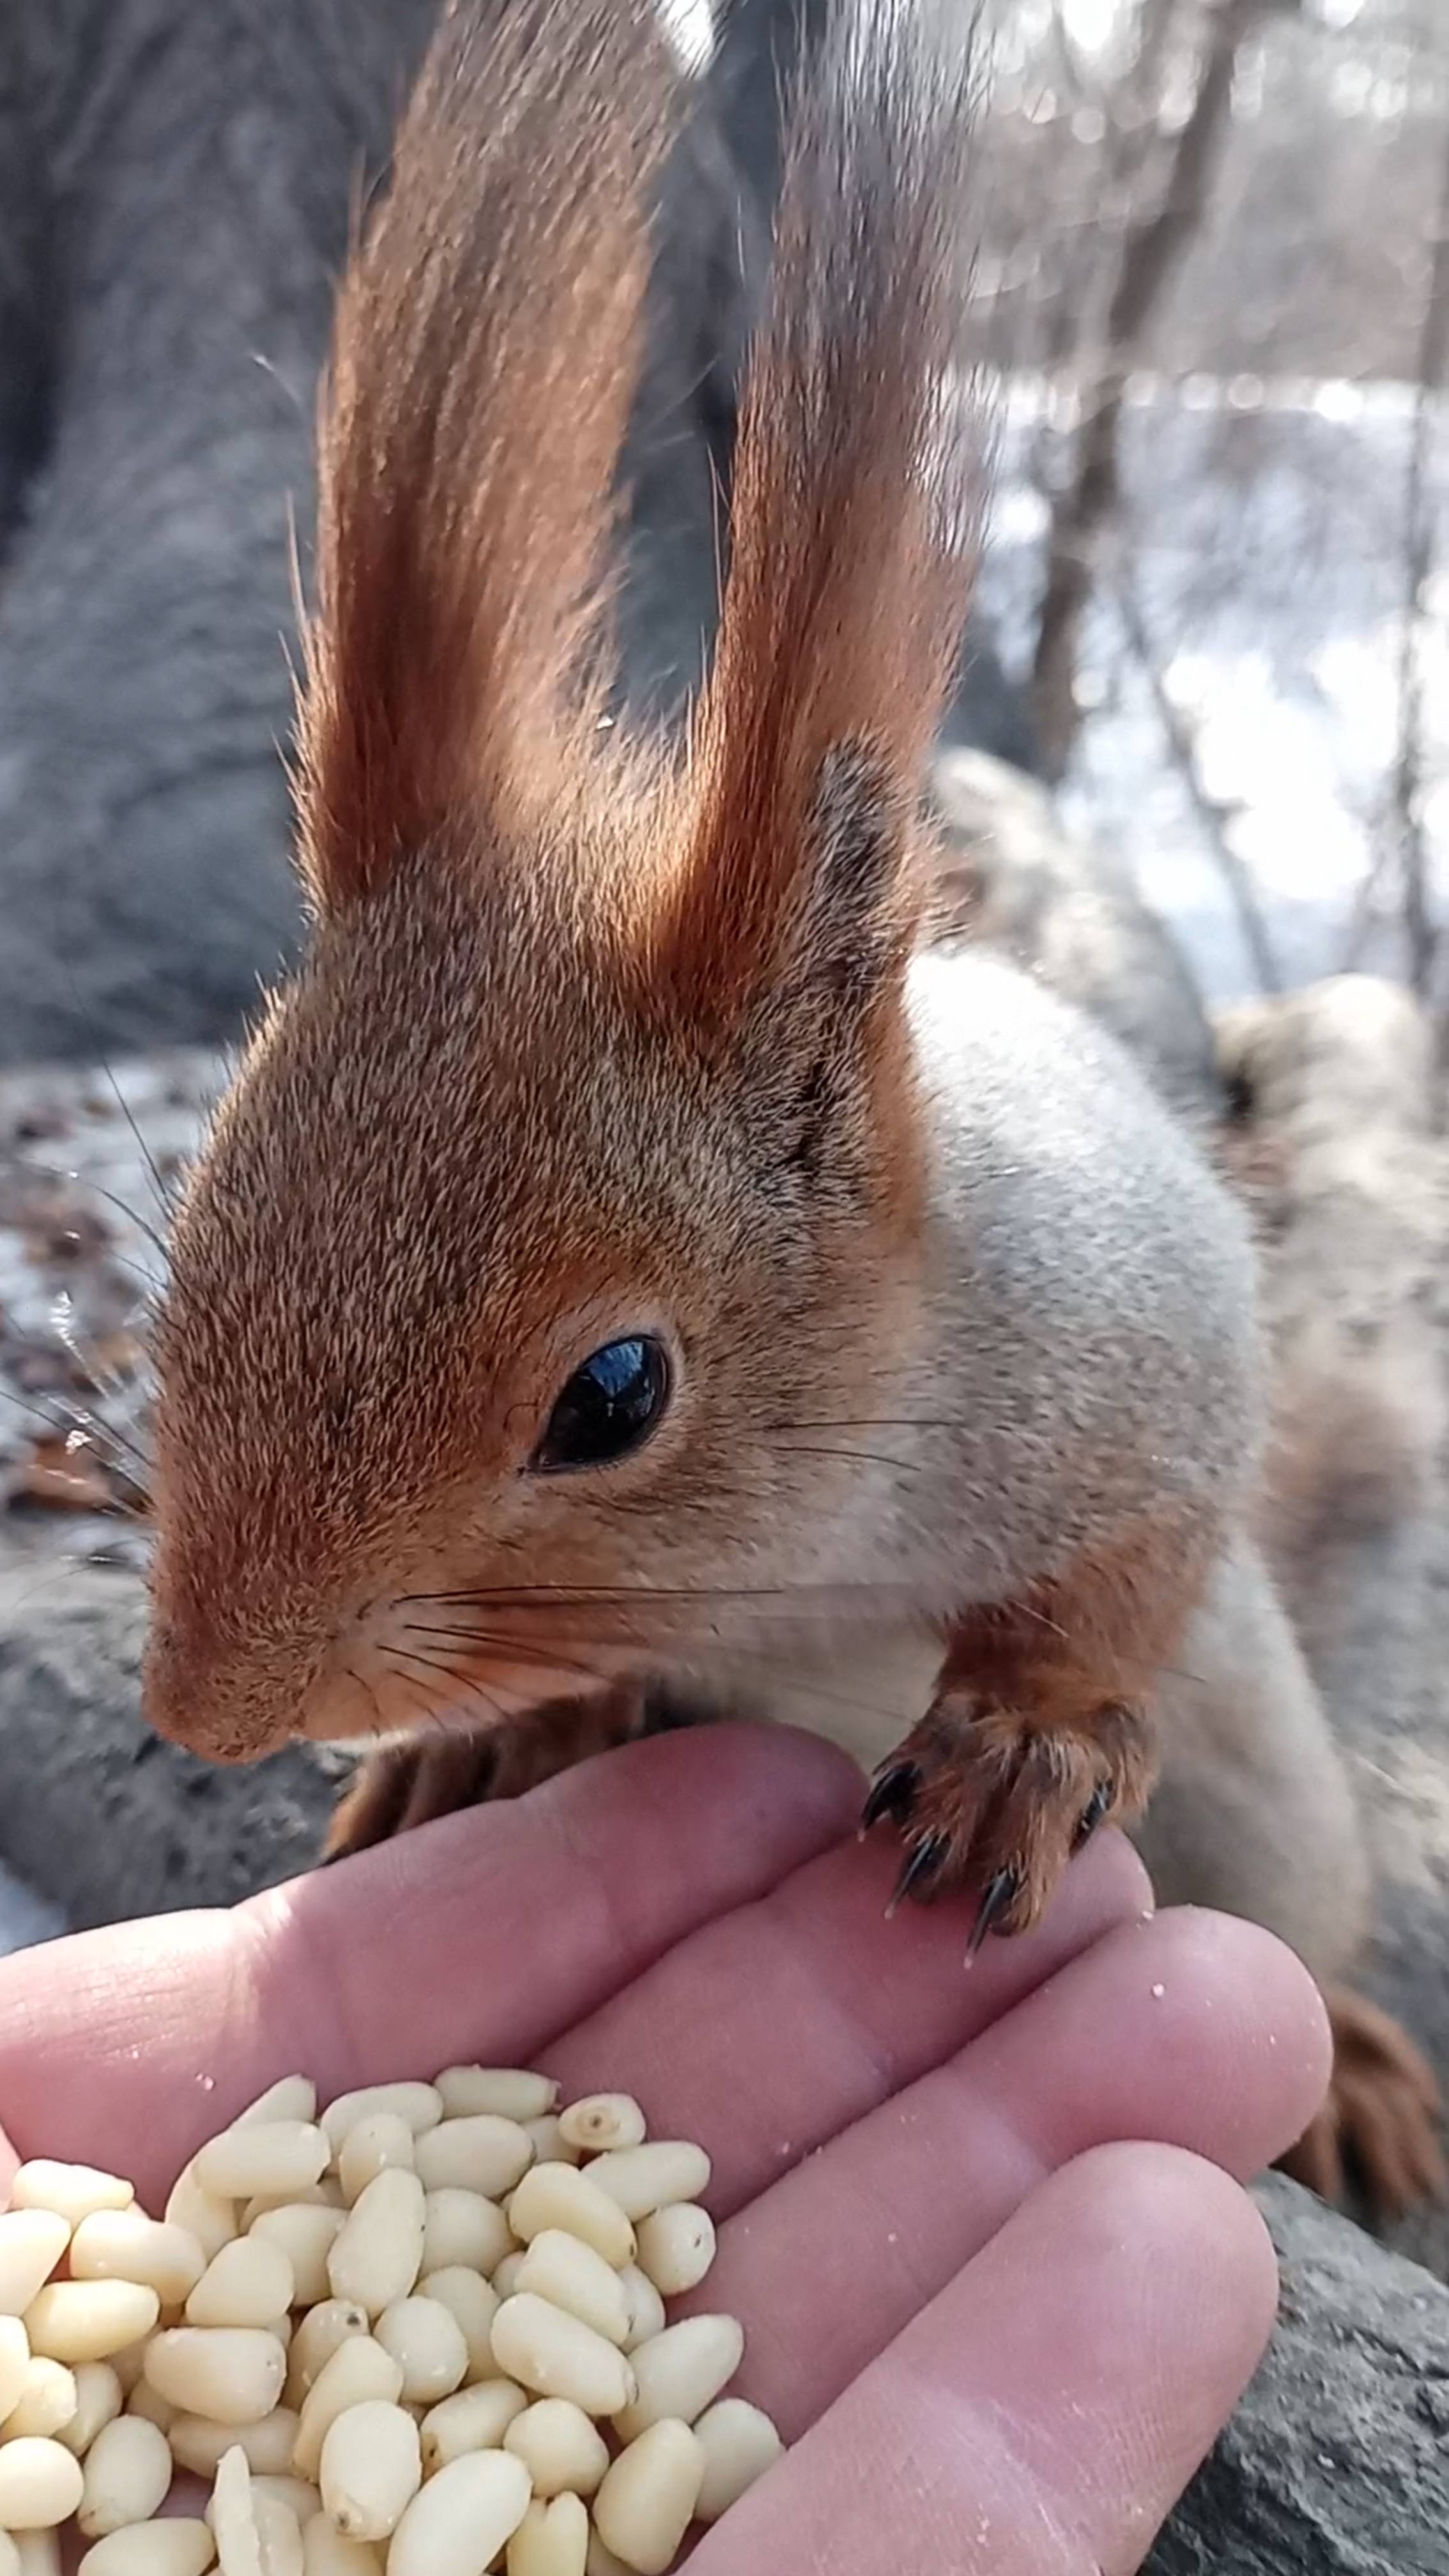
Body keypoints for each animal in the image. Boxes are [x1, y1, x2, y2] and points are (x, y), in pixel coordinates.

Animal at [137, 0, 1433, 2215]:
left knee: (1307, 1919)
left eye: (613, 1394)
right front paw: (484, 1737)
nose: (211, 1709)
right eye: (195, 1232)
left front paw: (1025, 1744)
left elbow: (1139, 1554)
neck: (808, 1555)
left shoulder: (1142, 1322)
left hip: (1277, 1825)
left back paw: (1345, 2052)